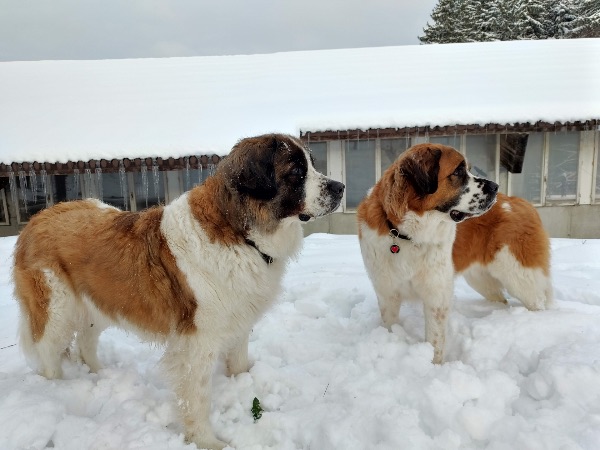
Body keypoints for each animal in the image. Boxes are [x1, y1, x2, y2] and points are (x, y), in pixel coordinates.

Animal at [12, 133, 344, 450]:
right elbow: (196, 397)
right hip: (57, 308)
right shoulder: (197, 341)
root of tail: (36, 219)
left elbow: (238, 362)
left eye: (312, 165)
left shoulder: (237, 321)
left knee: (85, 341)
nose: (340, 187)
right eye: (297, 172)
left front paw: (244, 387)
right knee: (48, 351)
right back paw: (56, 388)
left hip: (101, 301)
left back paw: (100, 376)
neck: (239, 233)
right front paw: (207, 441)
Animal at [357, 143, 497, 364]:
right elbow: (390, 324)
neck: (406, 235)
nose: (496, 187)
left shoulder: (436, 294)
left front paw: (433, 366)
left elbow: (435, 339)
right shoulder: (387, 291)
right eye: (458, 171)